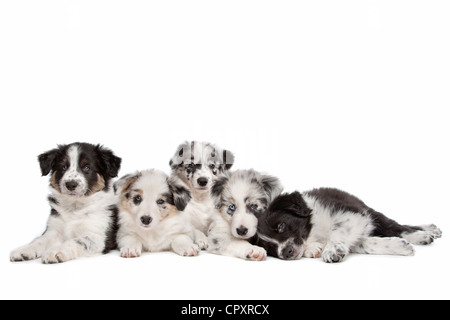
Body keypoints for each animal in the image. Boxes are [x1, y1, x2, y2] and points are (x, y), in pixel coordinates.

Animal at [255, 188, 442, 262]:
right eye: (269, 248)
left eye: (281, 227)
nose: (285, 253)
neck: (313, 231)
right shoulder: (357, 231)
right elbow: (368, 244)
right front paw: (399, 247)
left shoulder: (351, 213)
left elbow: (336, 230)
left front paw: (332, 249)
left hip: (371, 212)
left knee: (397, 226)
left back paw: (424, 233)